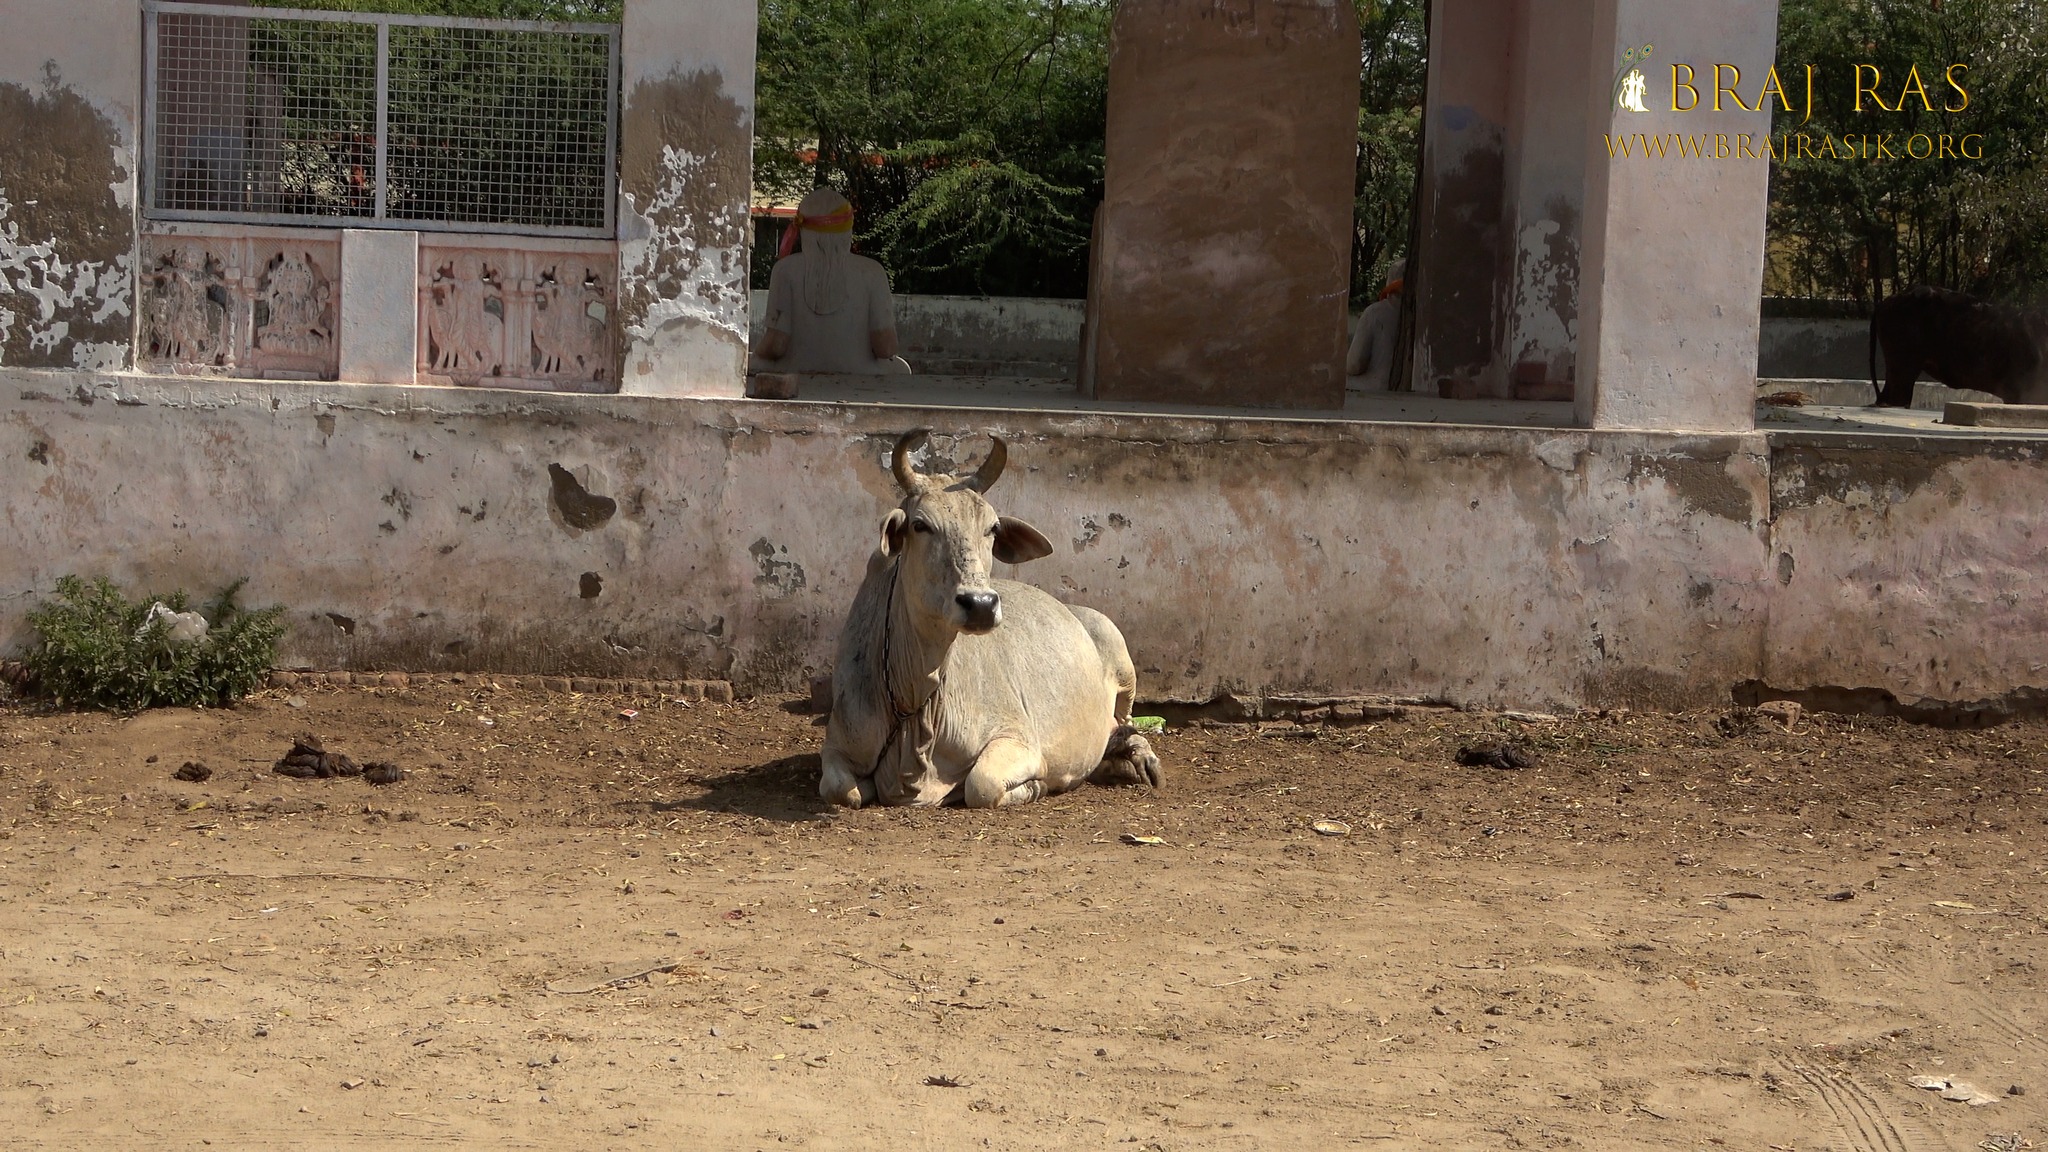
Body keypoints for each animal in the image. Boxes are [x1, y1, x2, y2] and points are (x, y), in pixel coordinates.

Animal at [817, 430, 1163, 809]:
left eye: (992, 528)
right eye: (920, 525)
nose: (980, 604)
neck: (914, 698)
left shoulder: (1016, 739)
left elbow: (980, 784)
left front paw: (1038, 786)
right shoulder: (838, 744)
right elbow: (841, 789)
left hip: (1119, 657)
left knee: (1125, 724)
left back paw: (1137, 758)